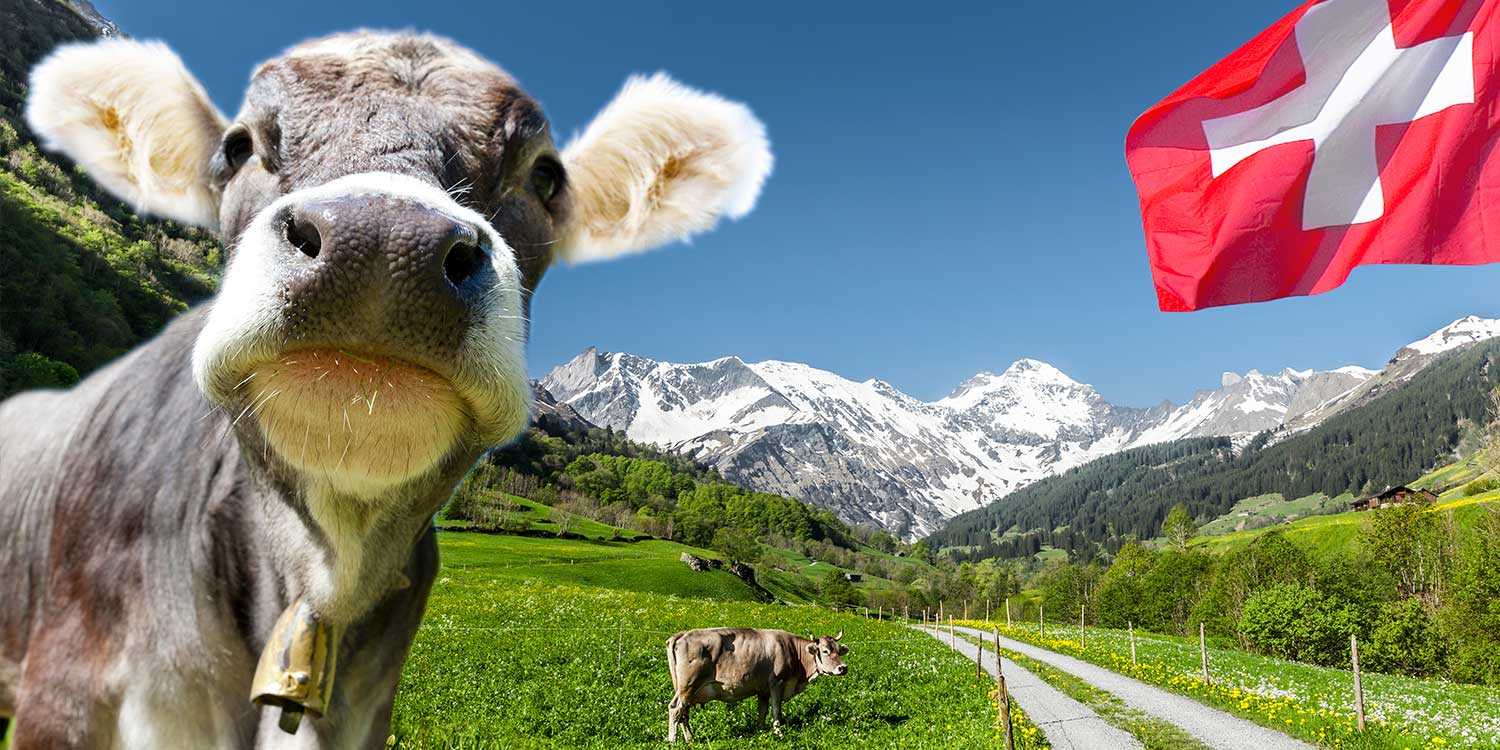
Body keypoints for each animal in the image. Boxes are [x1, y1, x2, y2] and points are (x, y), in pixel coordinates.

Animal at [665, 628, 849, 742]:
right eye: (825, 651)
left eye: (838, 650)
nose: (843, 668)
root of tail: (683, 634)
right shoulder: (777, 683)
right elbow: (776, 710)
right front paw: (778, 733)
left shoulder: (763, 690)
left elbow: (763, 710)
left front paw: (760, 731)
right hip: (689, 684)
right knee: (675, 708)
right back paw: (673, 740)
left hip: (684, 689)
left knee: (684, 713)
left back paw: (690, 739)